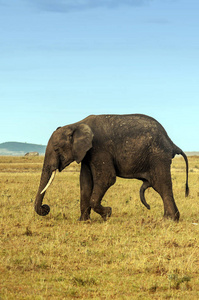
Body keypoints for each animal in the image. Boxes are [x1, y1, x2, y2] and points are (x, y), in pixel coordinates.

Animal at [34, 113, 190, 221]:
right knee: (160, 186)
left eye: (56, 149)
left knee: (162, 185)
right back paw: (169, 218)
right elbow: (85, 183)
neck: (77, 124)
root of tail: (171, 142)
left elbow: (106, 178)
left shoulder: (99, 148)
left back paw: (168, 220)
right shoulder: (86, 154)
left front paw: (107, 213)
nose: (46, 207)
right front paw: (83, 221)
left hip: (158, 156)